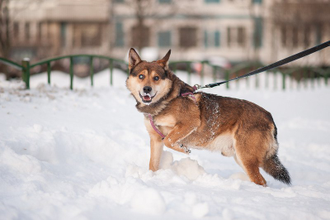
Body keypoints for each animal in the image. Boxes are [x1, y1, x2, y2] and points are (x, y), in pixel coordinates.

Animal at [125, 48, 290, 186]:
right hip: (241, 157)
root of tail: (269, 117)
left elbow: (169, 140)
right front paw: (151, 178)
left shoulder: (189, 122)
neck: (167, 99)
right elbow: (153, 164)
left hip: (246, 157)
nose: (147, 89)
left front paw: (182, 148)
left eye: (156, 78)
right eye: (141, 76)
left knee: (261, 181)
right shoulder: (155, 139)